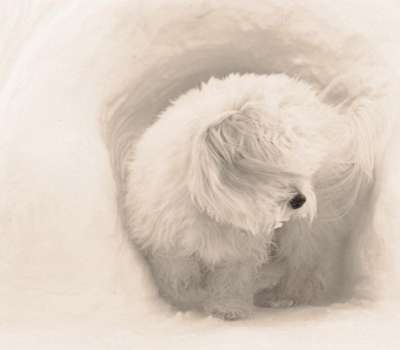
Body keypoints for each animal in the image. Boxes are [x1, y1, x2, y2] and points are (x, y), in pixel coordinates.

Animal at [125, 73, 384, 320]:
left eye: (303, 164)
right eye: (271, 167)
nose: (300, 200)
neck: (212, 210)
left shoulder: (242, 248)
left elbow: (232, 278)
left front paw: (228, 307)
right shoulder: (164, 235)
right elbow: (177, 271)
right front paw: (189, 291)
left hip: (307, 225)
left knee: (303, 263)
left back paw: (283, 295)